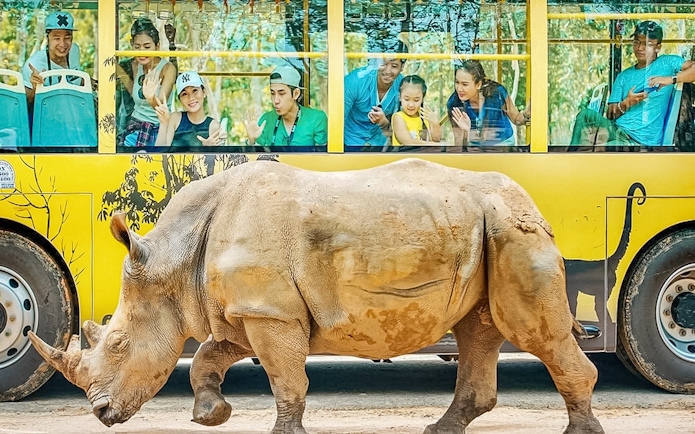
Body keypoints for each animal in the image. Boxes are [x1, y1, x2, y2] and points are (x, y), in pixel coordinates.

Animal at [29, 158, 603, 433]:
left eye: (118, 344)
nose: (101, 414)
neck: (173, 259)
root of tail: (528, 201)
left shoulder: (270, 314)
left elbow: (286, 380)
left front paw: (281, 431)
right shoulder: (249, 311)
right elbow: (208, 357)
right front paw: (211, 414)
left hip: (510, 228)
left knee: (529, 331)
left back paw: (581, 431)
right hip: (485, 228)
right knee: (478, 330)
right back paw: (437, 430)